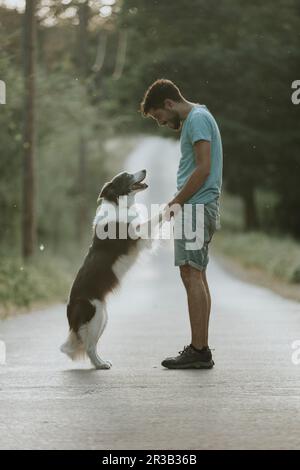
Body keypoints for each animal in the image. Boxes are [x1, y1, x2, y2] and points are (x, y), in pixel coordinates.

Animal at [60, 170, 164, 370]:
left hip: (103, 317)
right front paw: (173, 205)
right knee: (89, 346)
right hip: (96, 316)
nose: (145, 170)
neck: (119, 204)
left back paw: (101, 362)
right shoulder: (138, 236)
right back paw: (100, 365)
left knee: (91, 345)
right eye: (127, 176)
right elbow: (157, 217)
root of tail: (70, 308)